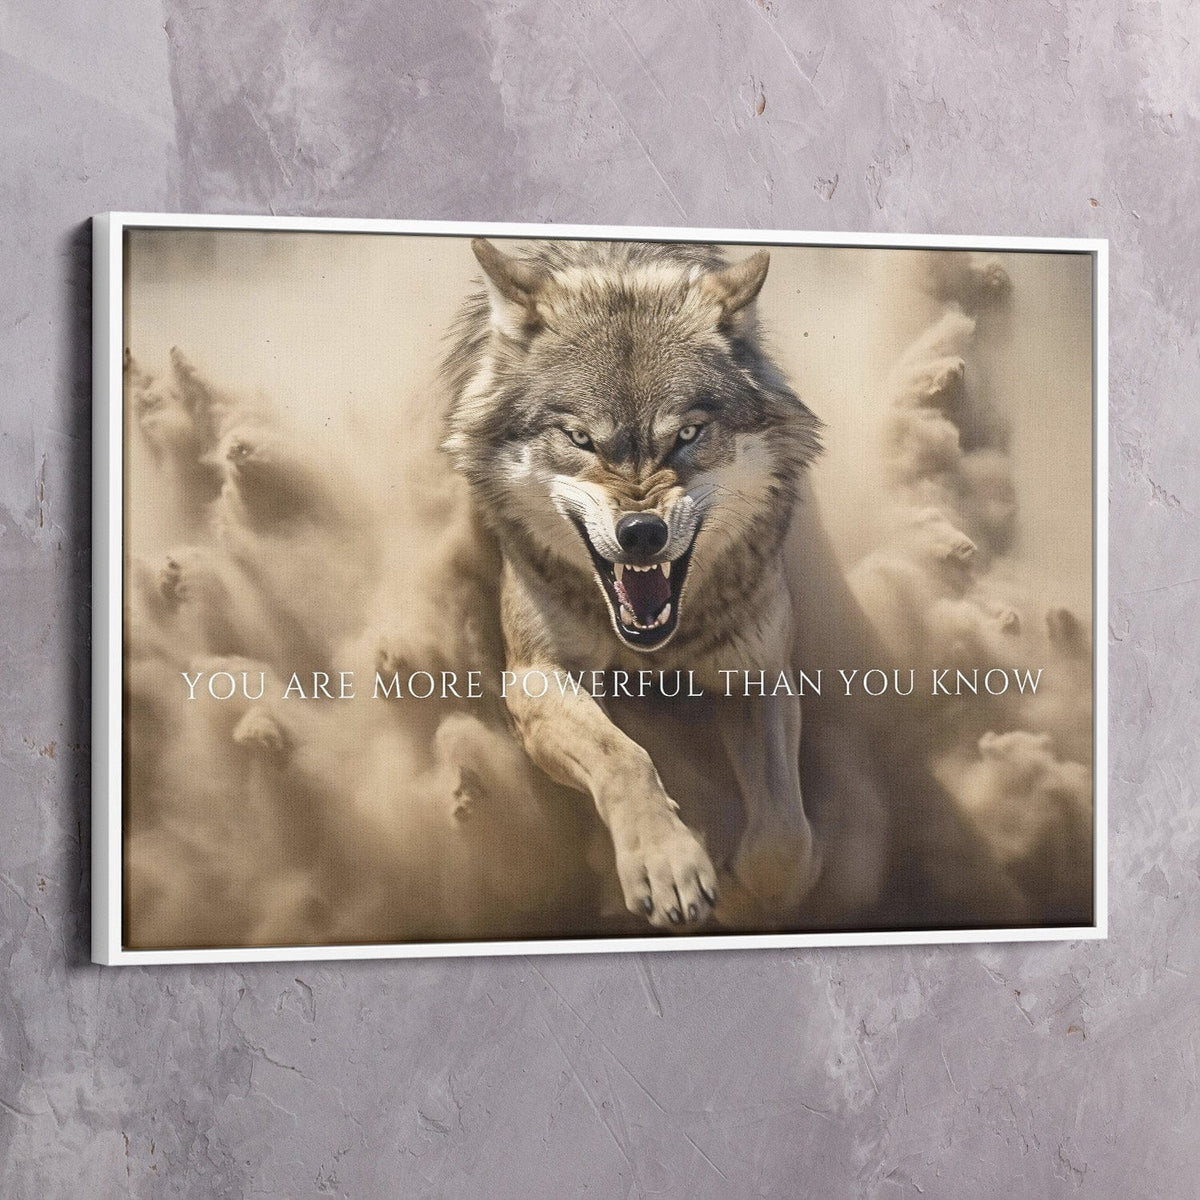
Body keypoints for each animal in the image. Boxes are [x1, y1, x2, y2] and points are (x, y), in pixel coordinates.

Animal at [442, 238, 836, 930]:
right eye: (580, 439)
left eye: (687, 434)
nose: (642, 533)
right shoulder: (535, 678)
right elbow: (623, 756)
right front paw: (671, 863)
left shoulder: (758, 674)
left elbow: (785, 840)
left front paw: (742, 892)